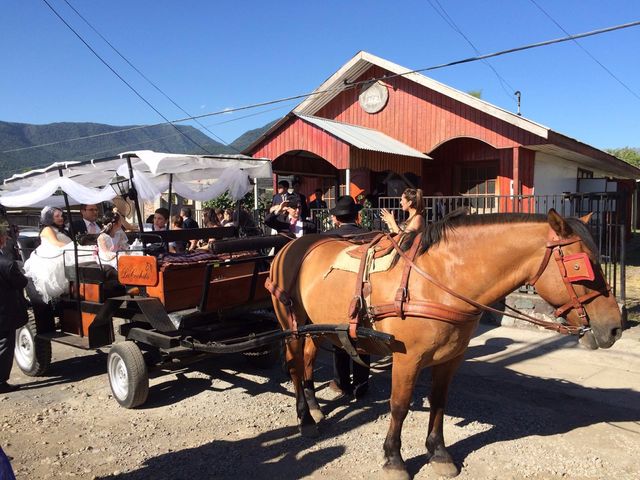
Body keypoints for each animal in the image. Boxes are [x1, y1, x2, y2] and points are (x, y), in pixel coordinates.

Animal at [268, 211, 624, 480]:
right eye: (579, 266)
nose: (615, 327)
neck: (440, 280)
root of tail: (291, 245)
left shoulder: (451, 357)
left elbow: (439, 403)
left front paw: (438, 453)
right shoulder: (407, 359)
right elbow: (399, 406)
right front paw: (393, 460)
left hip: (315, 328)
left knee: (308, 362)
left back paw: (314, 406)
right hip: (291, 327)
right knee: (296, 368)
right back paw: (305, 419)